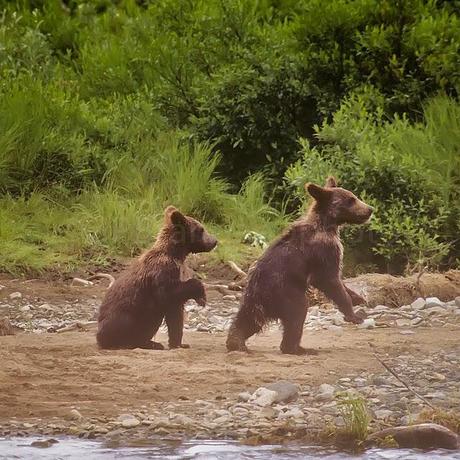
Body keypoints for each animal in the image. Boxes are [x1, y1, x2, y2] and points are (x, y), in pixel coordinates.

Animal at [95, 205, 217, 348]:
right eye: (201, 229)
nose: (214, 241)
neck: (176, 254)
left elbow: (176, 315)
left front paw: (178, 343)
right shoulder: (162, 271)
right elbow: (167, 293)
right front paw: (201, 294)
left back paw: (151, 343)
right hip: (124, 314)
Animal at [226, 177, 374, 356]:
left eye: (355, 197)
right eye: (351, 200)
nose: (369, 209)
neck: (328, 225)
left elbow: (339, 280)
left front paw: (359, 299)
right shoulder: (323, 252)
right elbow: (330, 280)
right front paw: (354, 314)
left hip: (258, 298)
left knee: (250, 319)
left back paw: (236, 342)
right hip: (286, 291)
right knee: (298, 312)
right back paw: (298, 348)